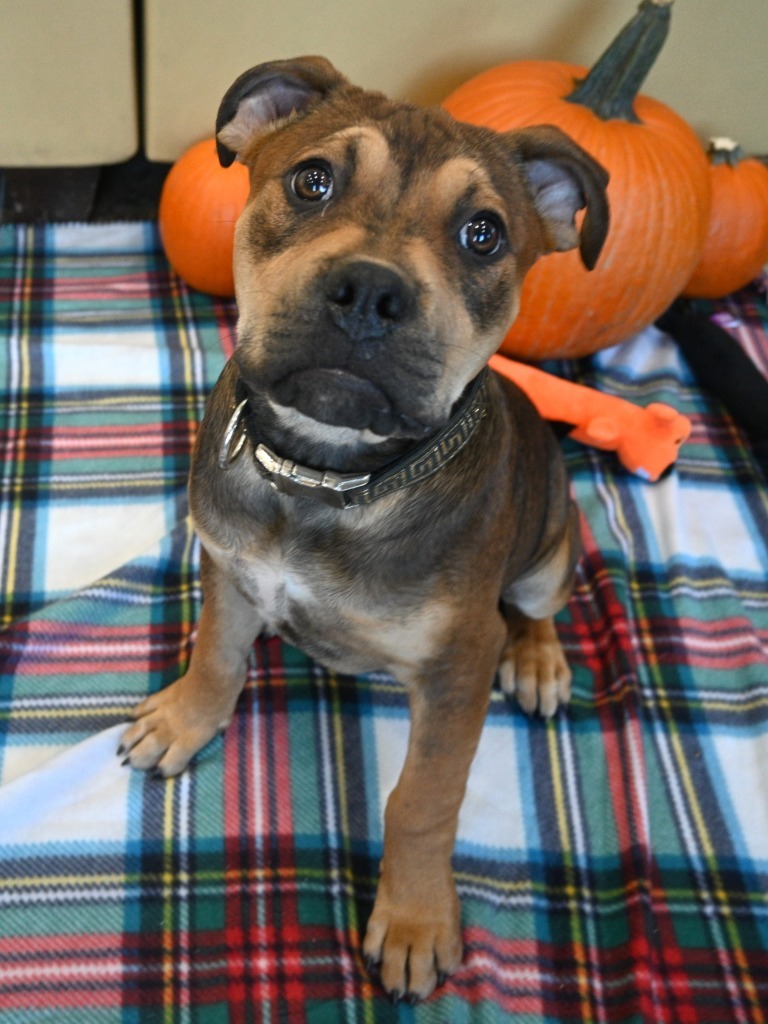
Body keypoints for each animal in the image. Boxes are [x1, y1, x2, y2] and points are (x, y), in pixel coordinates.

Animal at [120, 56, 610, 999]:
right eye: (312, 181)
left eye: (484, 235)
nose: (373, 292)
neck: (326, 476)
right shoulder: (229, 568)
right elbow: (218, 656)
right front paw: (186, 720)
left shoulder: (457, 668)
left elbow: (422, 800)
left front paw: (415, 919)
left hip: (549, 548)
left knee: (535, 610)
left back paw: (537, 661)